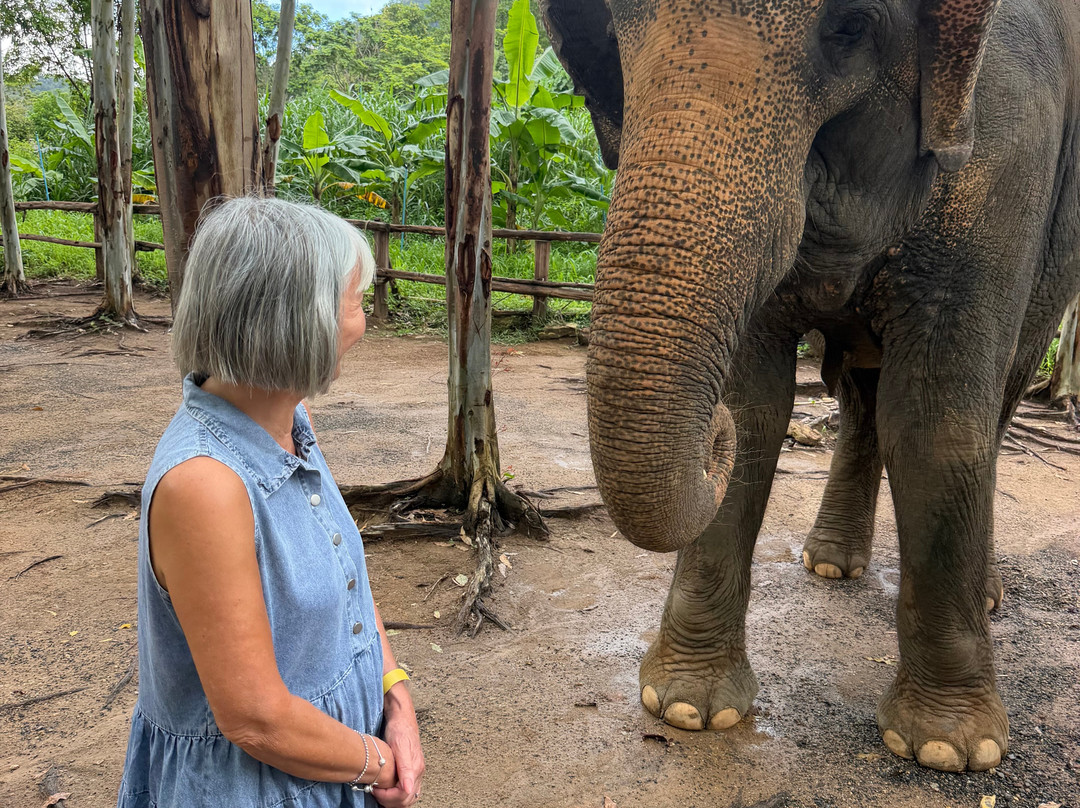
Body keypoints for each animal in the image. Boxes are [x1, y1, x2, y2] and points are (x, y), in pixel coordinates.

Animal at [541, 0, 1080, 774]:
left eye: (850, 27)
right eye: (613, 30)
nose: (709, 438)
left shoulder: (1007, 147)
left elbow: (935, 416)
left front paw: (951, 749)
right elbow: (756, 403)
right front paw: (686, 709)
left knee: (993, 393)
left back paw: (986, 596)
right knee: (861, 398)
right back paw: (830, 566)